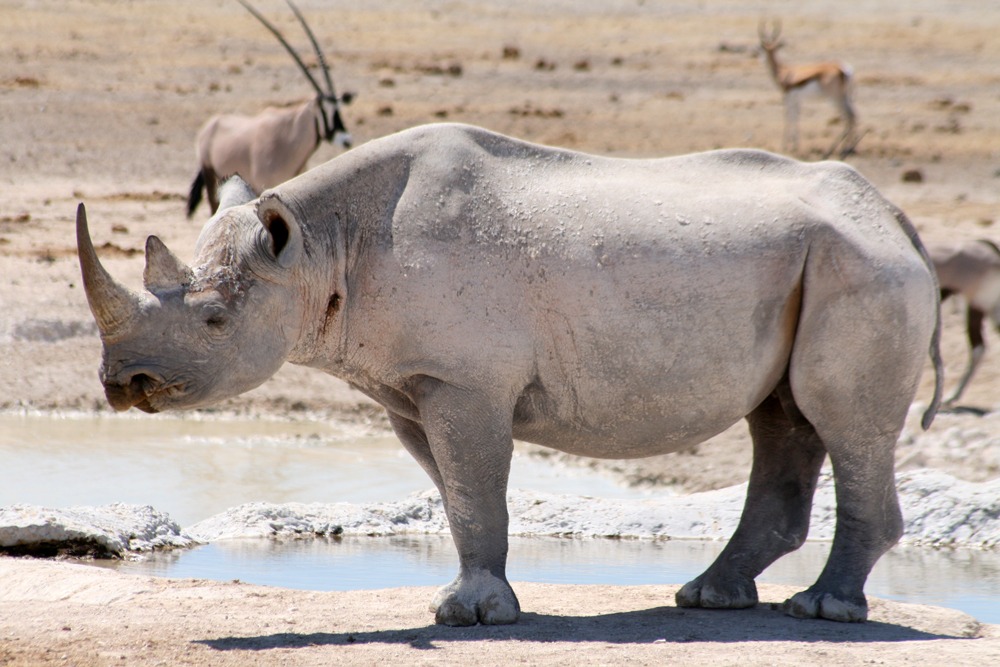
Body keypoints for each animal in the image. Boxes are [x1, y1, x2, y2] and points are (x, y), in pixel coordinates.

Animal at [77, 123, 942, 626]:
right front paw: (474, 601)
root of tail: (895, 216)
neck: (319, 249)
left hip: (862, 265)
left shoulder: (465, 380)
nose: (125, 384)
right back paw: (711, 598)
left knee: (840, 417)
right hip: (821, 259)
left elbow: (473, 486)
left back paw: (823, 609)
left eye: (216, 324)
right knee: (784, 415)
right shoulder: (415, 384)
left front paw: (470, 615)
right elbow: (458, 494)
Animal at [186, 0, 354, 218]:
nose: (347, 139)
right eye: (325, 111)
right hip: (210, 175)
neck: (289, 139)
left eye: (339, 108)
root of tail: (212, 123)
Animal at [758, 20, 857, 159]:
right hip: (846, 97)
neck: (784, 71)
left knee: (848, 116)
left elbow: (789, 116)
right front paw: (794, 145)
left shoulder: (787, 97)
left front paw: (788, 146)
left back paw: (837, 150)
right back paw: (849, 148)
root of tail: (843, 69)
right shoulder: (797, 99)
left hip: (834, 98)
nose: (759, 58)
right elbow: (795, 116)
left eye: (762, 48)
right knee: (853, 115)